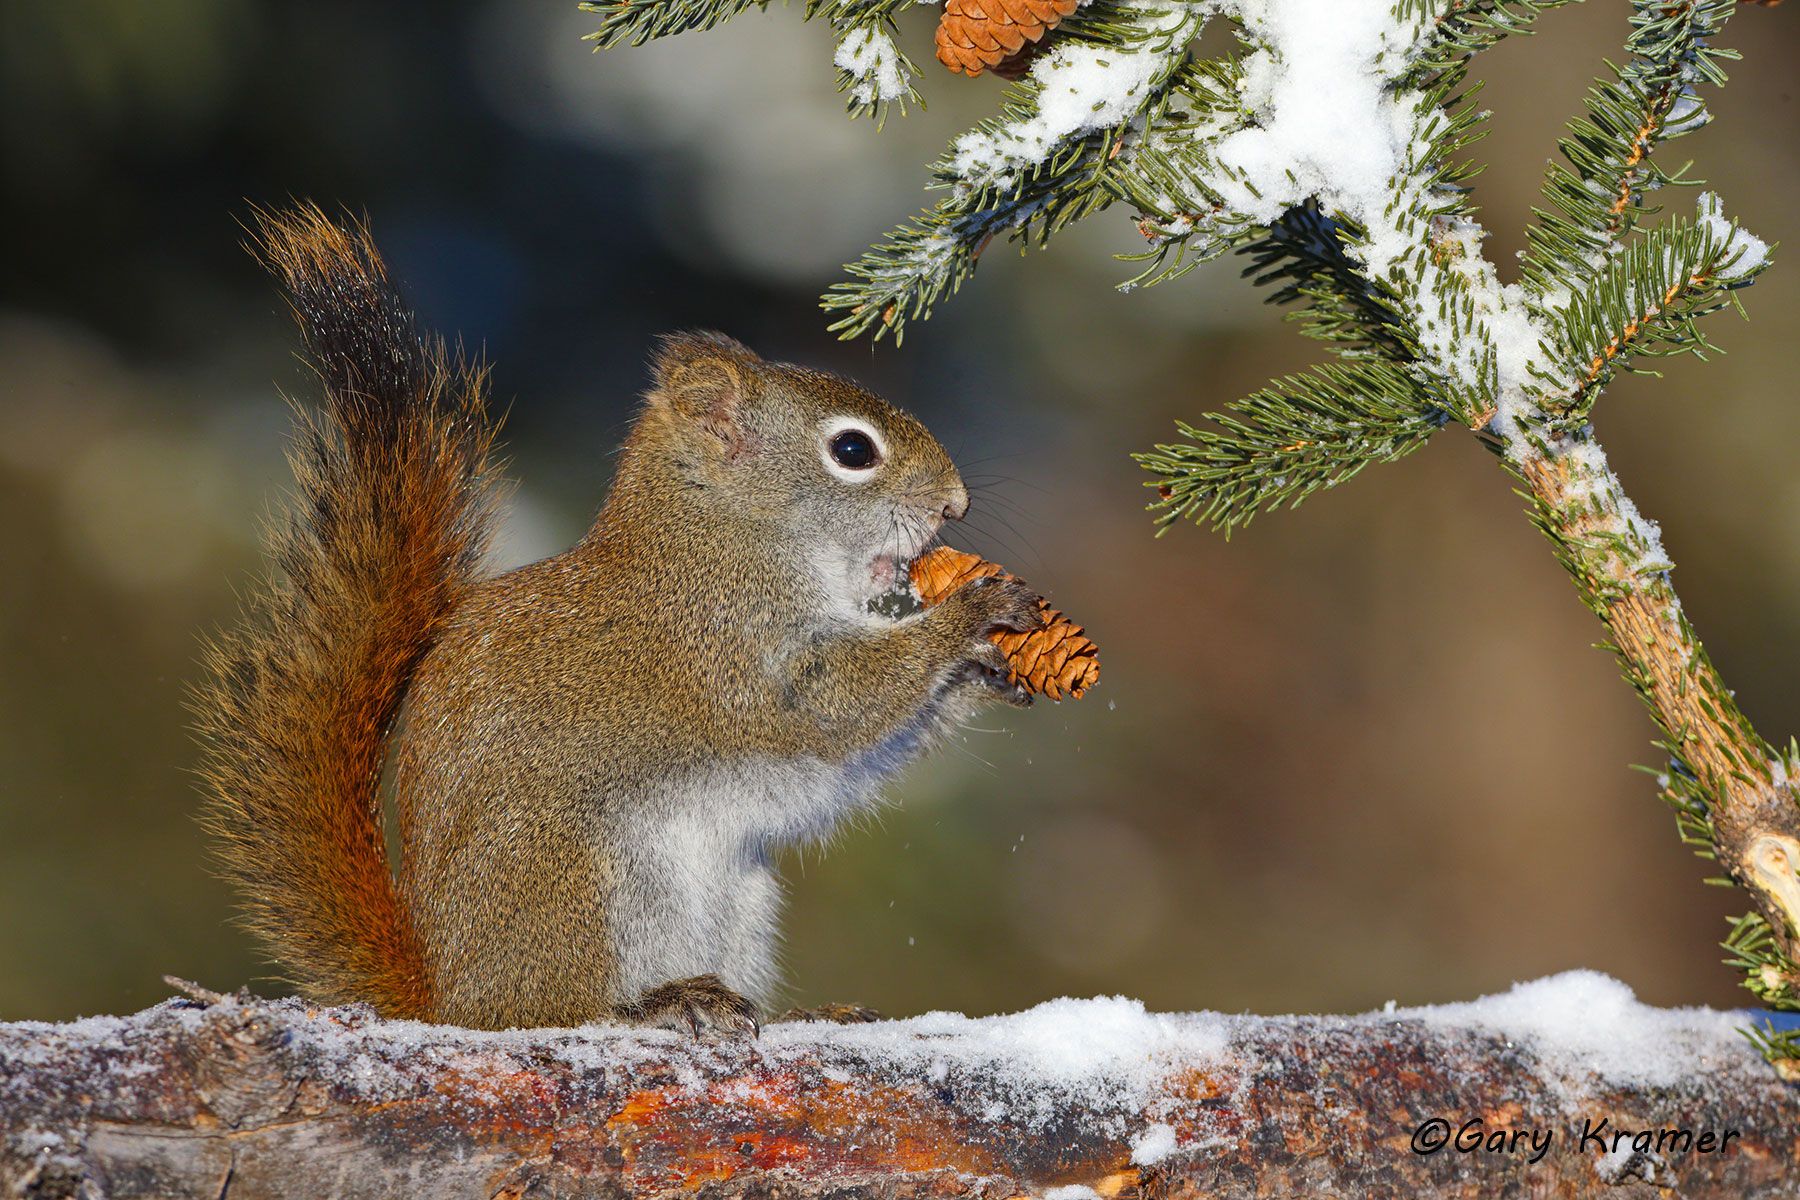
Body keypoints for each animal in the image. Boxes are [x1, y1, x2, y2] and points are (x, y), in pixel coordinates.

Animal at [193, 203, 1046, 1034]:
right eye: (852, 451)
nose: (955, 504)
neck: (726, 534)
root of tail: (446, 992)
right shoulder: (724, 645)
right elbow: (830, 706)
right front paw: (969, 615)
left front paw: (988, 668)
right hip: (572, 877)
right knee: (544, 1011)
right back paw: (658, 1002)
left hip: (737, 900)